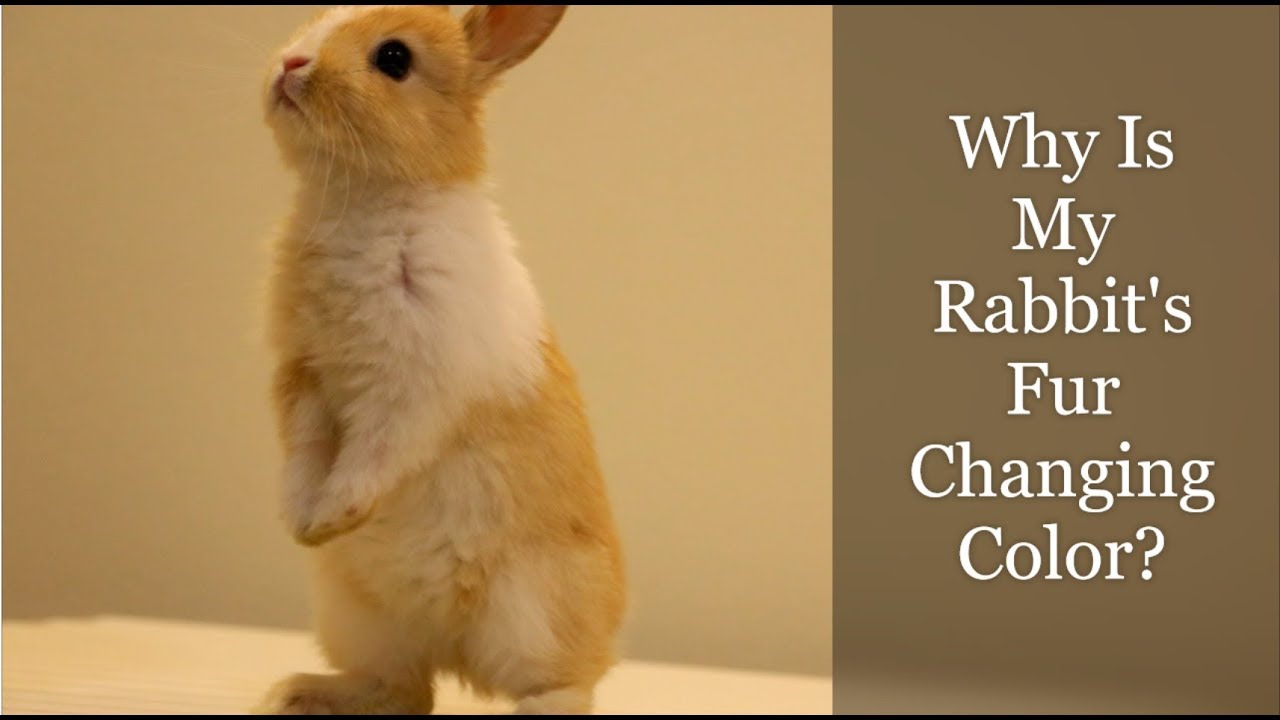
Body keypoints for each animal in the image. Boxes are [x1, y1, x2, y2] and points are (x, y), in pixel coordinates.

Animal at [254, 5, 625, 715]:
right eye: (318, 17)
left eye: (394, 59)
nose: (290, 63)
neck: (365, 198)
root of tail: (453, 651)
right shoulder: (303, 376)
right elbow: (304, 450)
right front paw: (300, 522)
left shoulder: (417, 389)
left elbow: (375, 452)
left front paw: (332, 516)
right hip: (357, 617)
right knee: (403, 691)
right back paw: (293, 691)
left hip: (532, 610)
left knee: (567, 682)